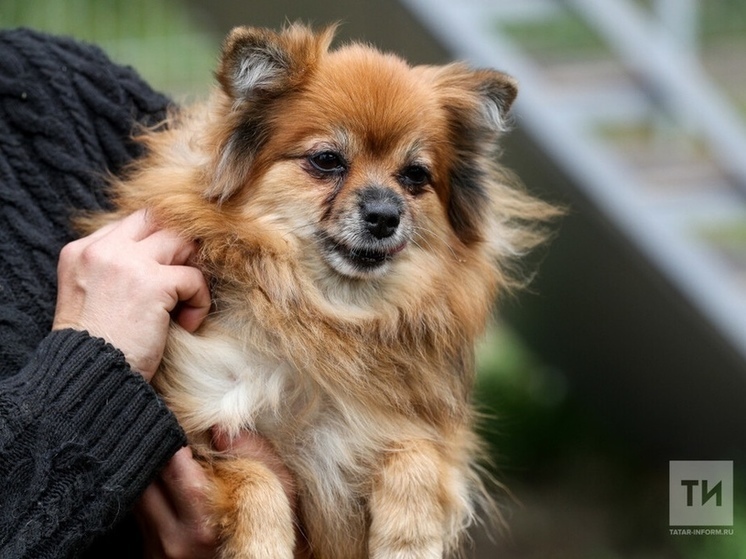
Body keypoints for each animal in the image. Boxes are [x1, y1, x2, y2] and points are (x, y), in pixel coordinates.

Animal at [84, 25, 556, 559]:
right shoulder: (200, 428)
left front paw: (410, 539)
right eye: (327, 161)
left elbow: (416, 455)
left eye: (415, 175)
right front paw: (262, 548)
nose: (384, 214)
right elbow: (257, 482)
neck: (327, 312)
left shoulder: (411, 429)